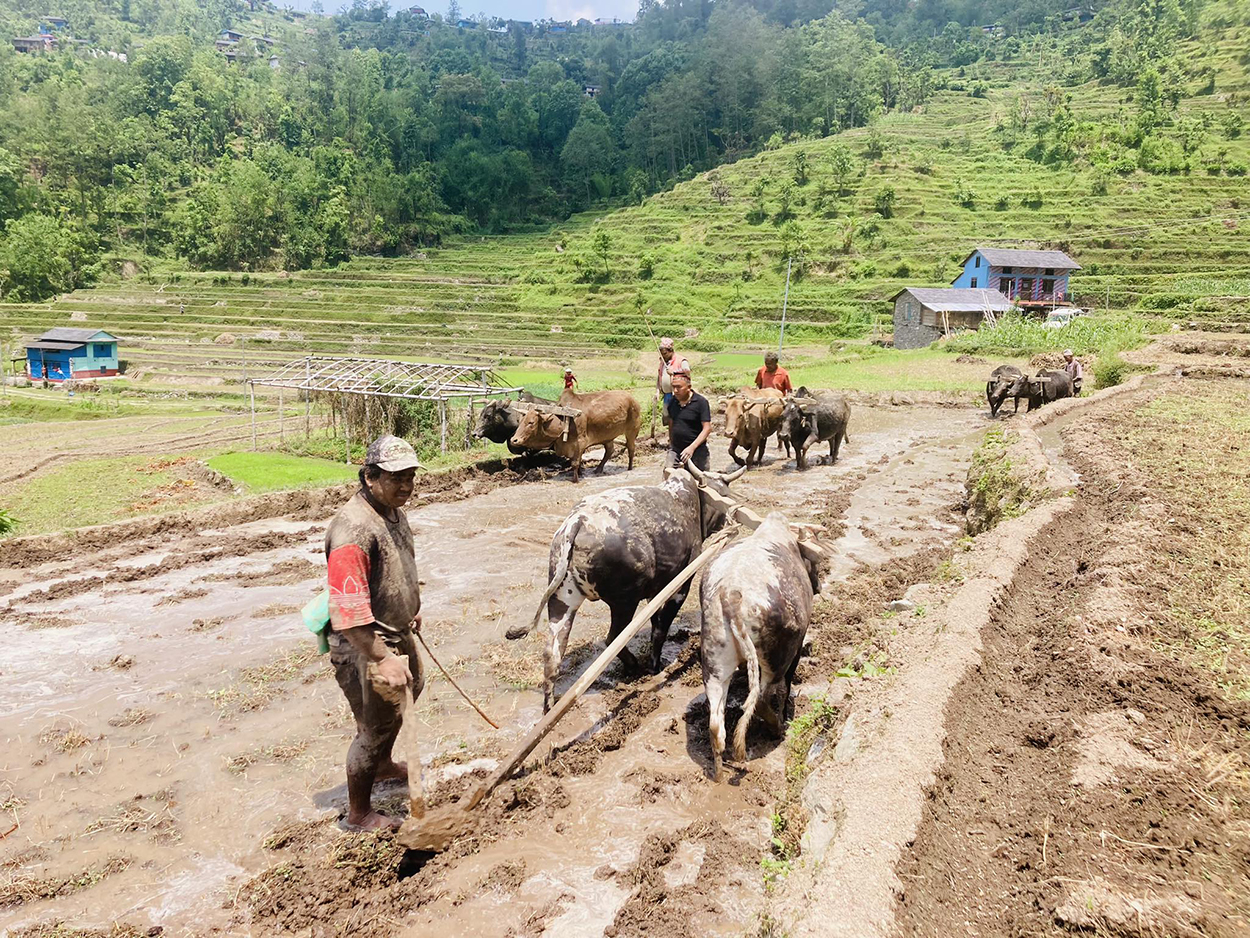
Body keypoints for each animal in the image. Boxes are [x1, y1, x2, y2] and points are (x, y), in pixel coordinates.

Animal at [507, 462, 740, 710]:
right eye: (724, 495)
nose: (726, 521)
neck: (687, 499)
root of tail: (577, 521)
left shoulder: (655, 590)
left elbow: (655, 622)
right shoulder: (680, 585)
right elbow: (660, 628)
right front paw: (655, 666)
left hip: (563, 600)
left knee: (553, 653)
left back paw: (550, 706)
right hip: (624, 602)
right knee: (613, 639)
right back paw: (633, 666)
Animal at [510, 387, 640, 485]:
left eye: (531, 422)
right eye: (520, 421)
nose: (514, 440)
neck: (563, 420)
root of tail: (632, 399)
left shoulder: (580, 442)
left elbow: (575, 462)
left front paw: (575, 480)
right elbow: (576, 460)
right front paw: (581, 473)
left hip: (632, 431)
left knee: (631, 448)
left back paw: (629, 467)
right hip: (607, 437)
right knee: (609, 451)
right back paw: (598, 469)